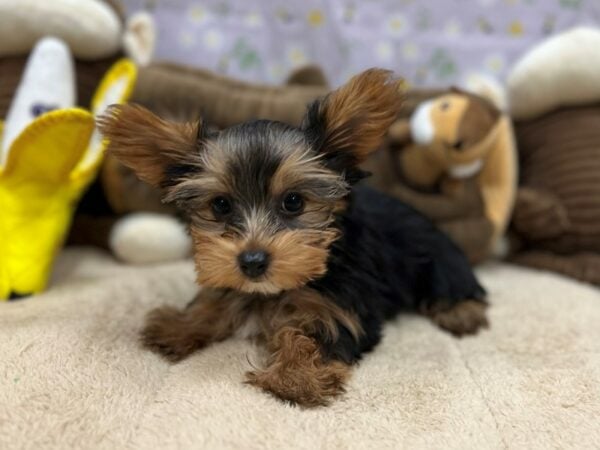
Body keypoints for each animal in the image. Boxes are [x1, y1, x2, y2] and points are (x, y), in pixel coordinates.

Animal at [98, 67, 490, 408]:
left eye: (293, 202)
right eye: (221, 205)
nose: (252, 261)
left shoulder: (343, 306)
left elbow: (310, 334)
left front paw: (297, 377)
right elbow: (217, 299)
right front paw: (179, 326)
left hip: (437, 257)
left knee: (454, 283)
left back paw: (460, 312)